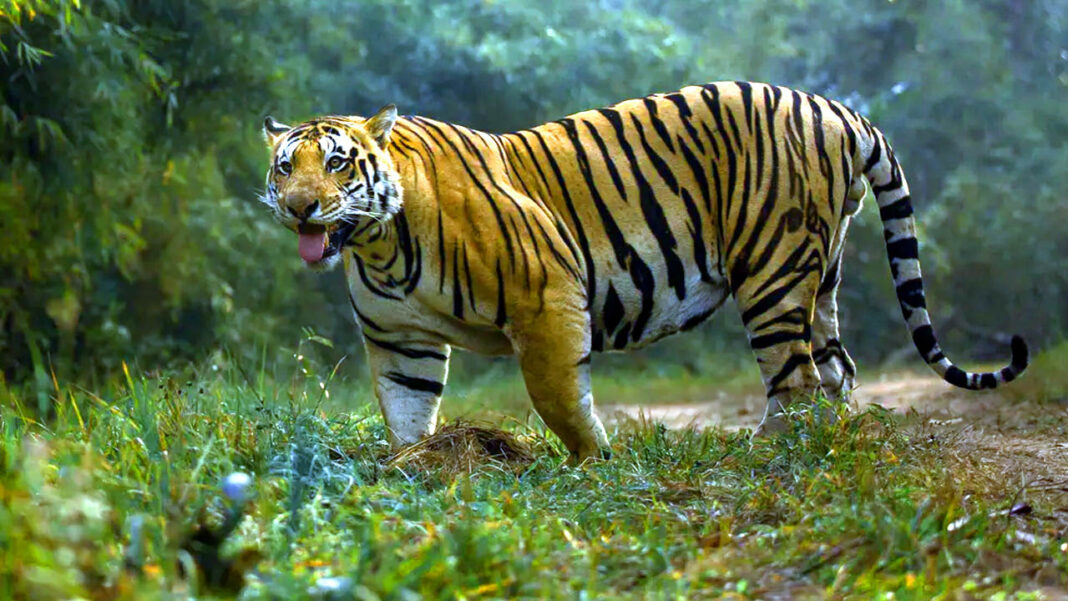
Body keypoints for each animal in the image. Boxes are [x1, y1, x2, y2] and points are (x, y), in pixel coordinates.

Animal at [260, 81, 1029, 460]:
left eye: (338, 163)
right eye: (285, 166)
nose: (300, 208)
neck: (378, 244)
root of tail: (838, 107)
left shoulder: (546, 297)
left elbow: (558, 398)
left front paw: (590, 462)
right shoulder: (400, 340)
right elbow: (406, 409)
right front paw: (414, 469)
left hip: (774, 270)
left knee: (798, 378)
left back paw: (769, 453)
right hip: (824, 270)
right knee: (836, 368)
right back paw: (836, 441)